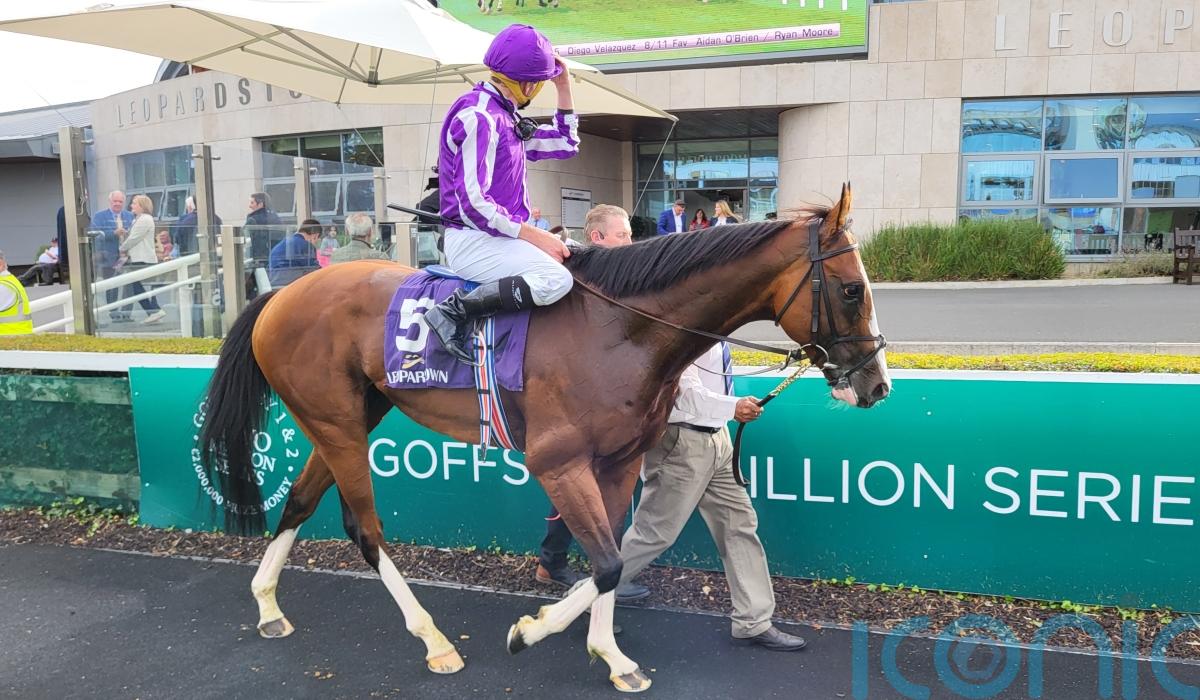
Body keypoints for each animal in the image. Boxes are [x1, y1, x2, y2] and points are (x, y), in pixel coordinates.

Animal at [198, 183, 889, 693]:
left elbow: (612, 556)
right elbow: (607, 562)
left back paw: (268, 606)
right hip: (336, 422)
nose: (876, 384)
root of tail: (281, 294)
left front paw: (610, 656)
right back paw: (435, 641)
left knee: (299, 501)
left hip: (346, 416)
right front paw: (533, 632)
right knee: (363, 530)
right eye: (852, 289)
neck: (619, 328)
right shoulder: (557, 461)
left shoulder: (619, 461)